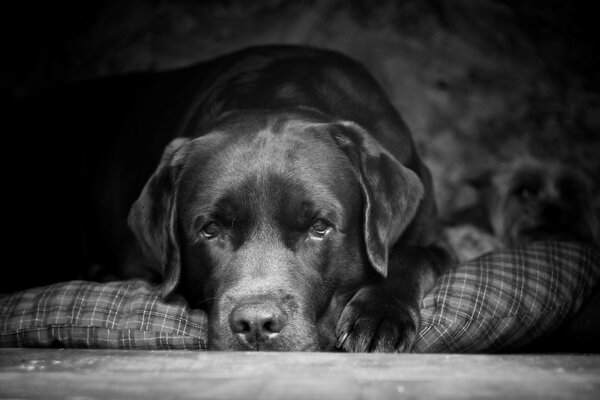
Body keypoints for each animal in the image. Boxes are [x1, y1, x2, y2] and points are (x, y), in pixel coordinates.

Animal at [9, 46, 452, 350]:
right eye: (210, 230)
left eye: (319, 227)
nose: (256, 324)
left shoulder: (433, 232)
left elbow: (411, 257)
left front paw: (380, 318)